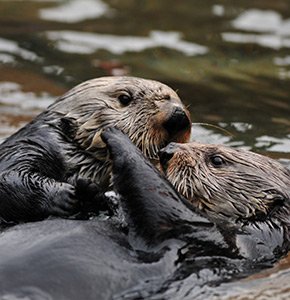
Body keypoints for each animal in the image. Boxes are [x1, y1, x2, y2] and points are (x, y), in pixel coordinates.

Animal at [0, 76, 190, 221]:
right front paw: (66, 194)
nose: (178, 115)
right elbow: (9, 175)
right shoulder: (31, 145)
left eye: (174, 98)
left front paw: (89, 193)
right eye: (124, 98)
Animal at [0, 129, 286, 300]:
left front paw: (117, 136)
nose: (168, 150)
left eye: (216, 160)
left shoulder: (221, 239)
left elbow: (164, 211)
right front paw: (87, 192)